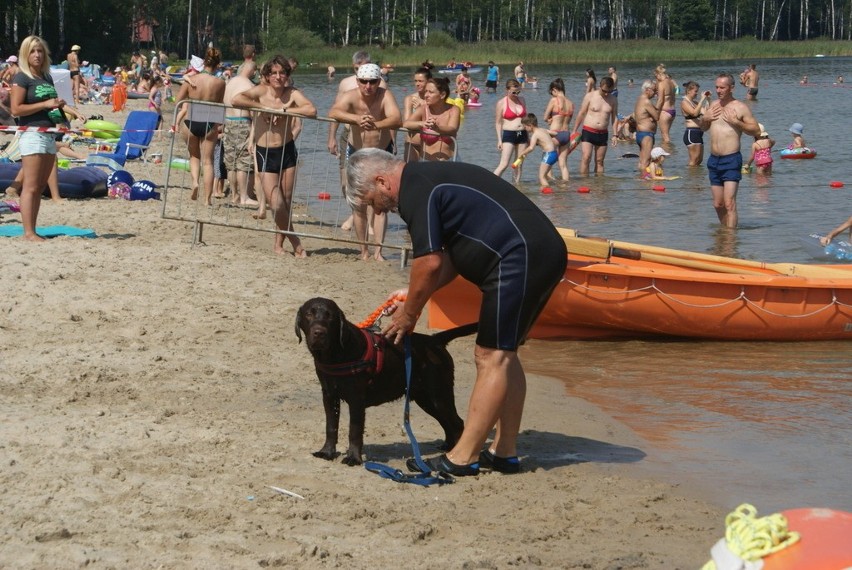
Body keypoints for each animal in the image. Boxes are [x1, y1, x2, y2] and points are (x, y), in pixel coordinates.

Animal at [296, 296, 476, 464]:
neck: (335, 355)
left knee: (457, 423)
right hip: (427, 400)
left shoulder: (356, 399)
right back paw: (447, 447)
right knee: (448, 423)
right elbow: (331, 426)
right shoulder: (329, 396)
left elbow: (354, 430)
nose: (319, 332)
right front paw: (327, 452)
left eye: (331, 316)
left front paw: (353, 458)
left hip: (439, 395)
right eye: (309, 314)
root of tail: (434, 340)